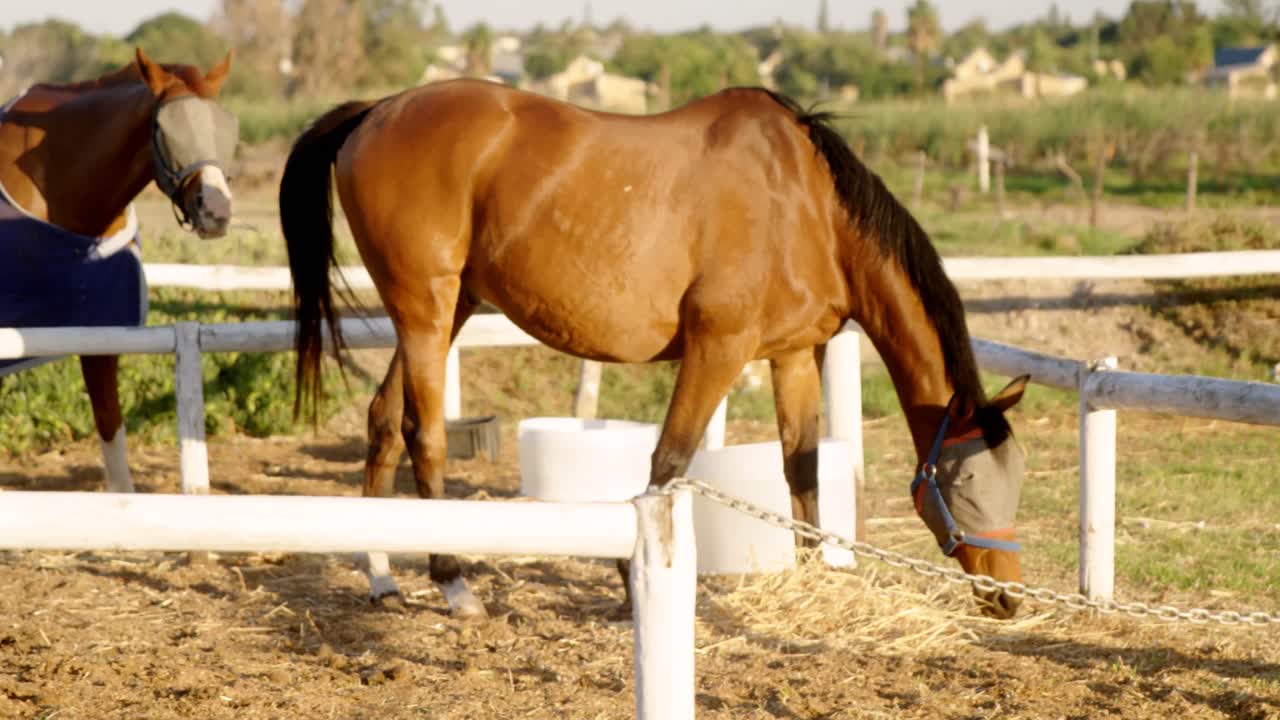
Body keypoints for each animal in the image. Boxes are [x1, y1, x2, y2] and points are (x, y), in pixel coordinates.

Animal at [279, 79, 1032, 620]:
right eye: (965, 483)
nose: (1008, 595)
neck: (806, 206)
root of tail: (376, 110)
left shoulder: (792, 356)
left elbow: (803, 470)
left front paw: (816, 577)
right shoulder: (718, 348)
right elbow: (668, 463)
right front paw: (629, 571)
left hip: (447, 308)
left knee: (383, 419)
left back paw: (380, 576)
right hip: (426, 310)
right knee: (423, 432)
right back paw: (452, 582)